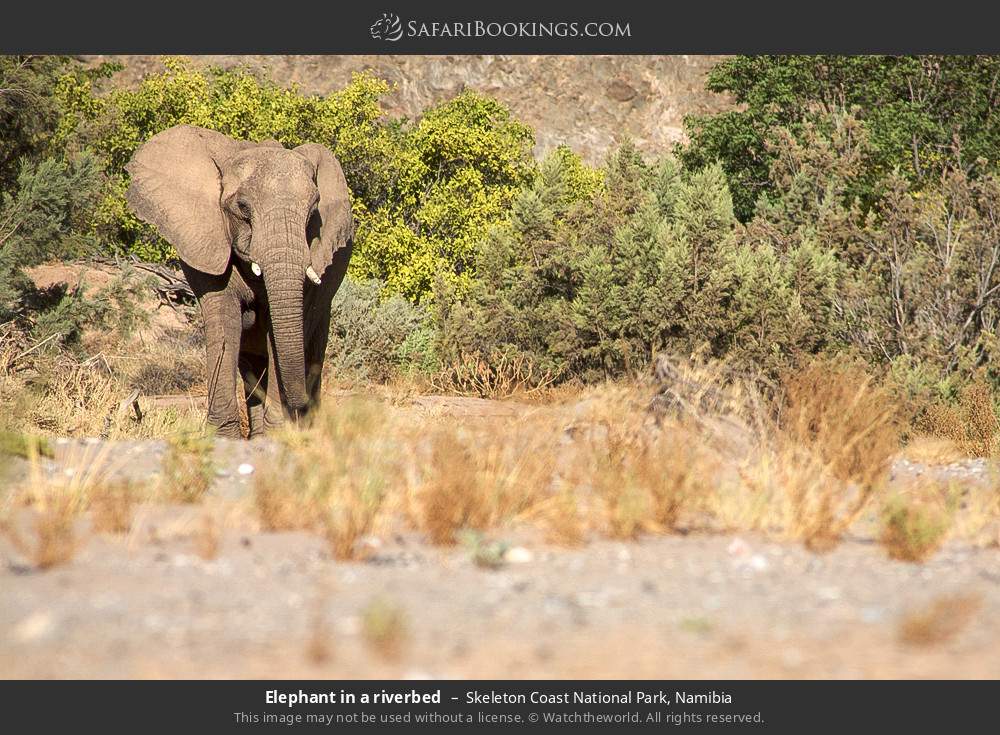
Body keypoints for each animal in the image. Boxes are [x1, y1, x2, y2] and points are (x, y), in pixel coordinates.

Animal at [125, 124, 354, 438]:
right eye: (243, 207)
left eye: (313, 211)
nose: (298, 405)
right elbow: (225, 323)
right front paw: (224, 437)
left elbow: (277, 335)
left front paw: (278, 434)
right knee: (251, 367)